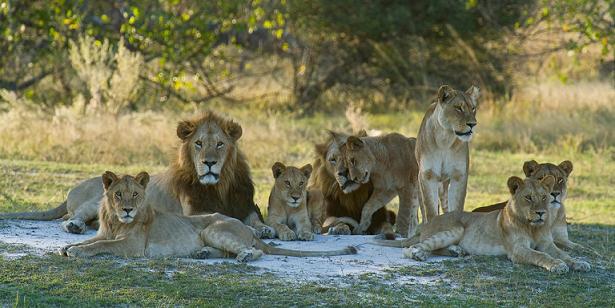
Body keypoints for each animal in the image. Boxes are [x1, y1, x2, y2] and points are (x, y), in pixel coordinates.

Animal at [59, 170, 356, 262]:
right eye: (119, 195)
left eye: (135, 195)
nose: (128, 210)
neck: (114, 220)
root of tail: (249, 229)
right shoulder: (105, 232)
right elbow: (91, 240)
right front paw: (68, 246)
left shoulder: (132, 246)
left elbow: (100, 245)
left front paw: (76, 251)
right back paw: (200, 254)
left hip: (211, 228)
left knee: (254, 251)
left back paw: (244, 257)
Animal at [376, 174, 592, 274]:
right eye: (528, 198)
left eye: (544, 197)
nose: (541, 213)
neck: (532, 226)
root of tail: (427, 223)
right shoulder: (517, 250)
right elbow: (541, 255)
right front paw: (557, 265)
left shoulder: (548, 243)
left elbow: (564, 254)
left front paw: (579, 263)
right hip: (455, 228)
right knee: (413, 247)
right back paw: (420, 255)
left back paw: (457, 251)